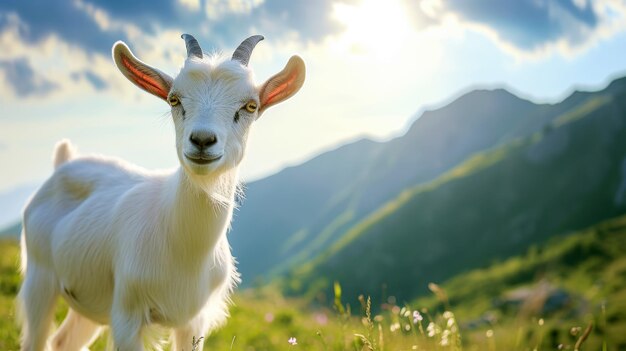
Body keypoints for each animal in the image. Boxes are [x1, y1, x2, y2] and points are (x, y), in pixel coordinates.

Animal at [17, 33, 304, 351]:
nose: (202, 140)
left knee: (62, 340)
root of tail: (64, 163)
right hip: (39, 278)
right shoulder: (126, 313)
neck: (184, 249)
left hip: (87, 301)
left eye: (251, 106)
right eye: (174, 99)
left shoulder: (194, 321)